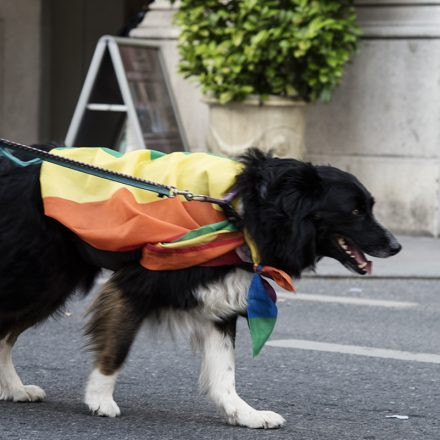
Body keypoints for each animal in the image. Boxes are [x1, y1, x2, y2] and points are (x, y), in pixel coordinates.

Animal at [0, 147, 398, 426]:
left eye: (369, 207)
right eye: (356, 211)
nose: (396, 246)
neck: (242, 212)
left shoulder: (219, 304)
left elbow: (224, 373)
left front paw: (244, 414)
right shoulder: (137, 284)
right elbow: (117, 347)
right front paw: (100, 398)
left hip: (48, 283)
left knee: (5, 335)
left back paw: (14, 388)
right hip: (41, 278)